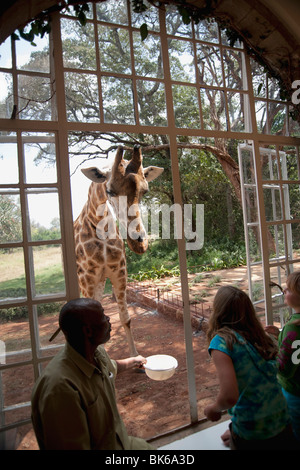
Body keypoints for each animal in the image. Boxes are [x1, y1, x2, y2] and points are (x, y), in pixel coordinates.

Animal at [73, 145, 164, 354]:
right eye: (109, 191)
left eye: (145, 191)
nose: (140, 243)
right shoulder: (87, 279)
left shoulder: (119, 273)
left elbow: (126, 319)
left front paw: (136, 356)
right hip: (85, 281)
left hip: (100, 280)